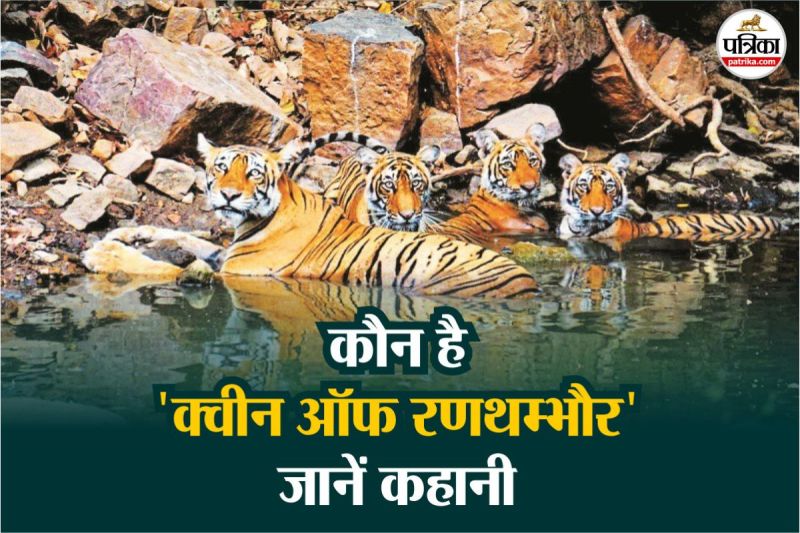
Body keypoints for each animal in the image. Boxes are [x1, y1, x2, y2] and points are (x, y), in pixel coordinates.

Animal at [84, 135, 539, 300]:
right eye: (221, 168)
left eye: (252, 173)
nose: (229, 195)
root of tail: (529, 284)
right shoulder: (229, 255)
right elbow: (185, 238)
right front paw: (130, 232)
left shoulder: (239, 273)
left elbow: (161, 269)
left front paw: (102, 255)